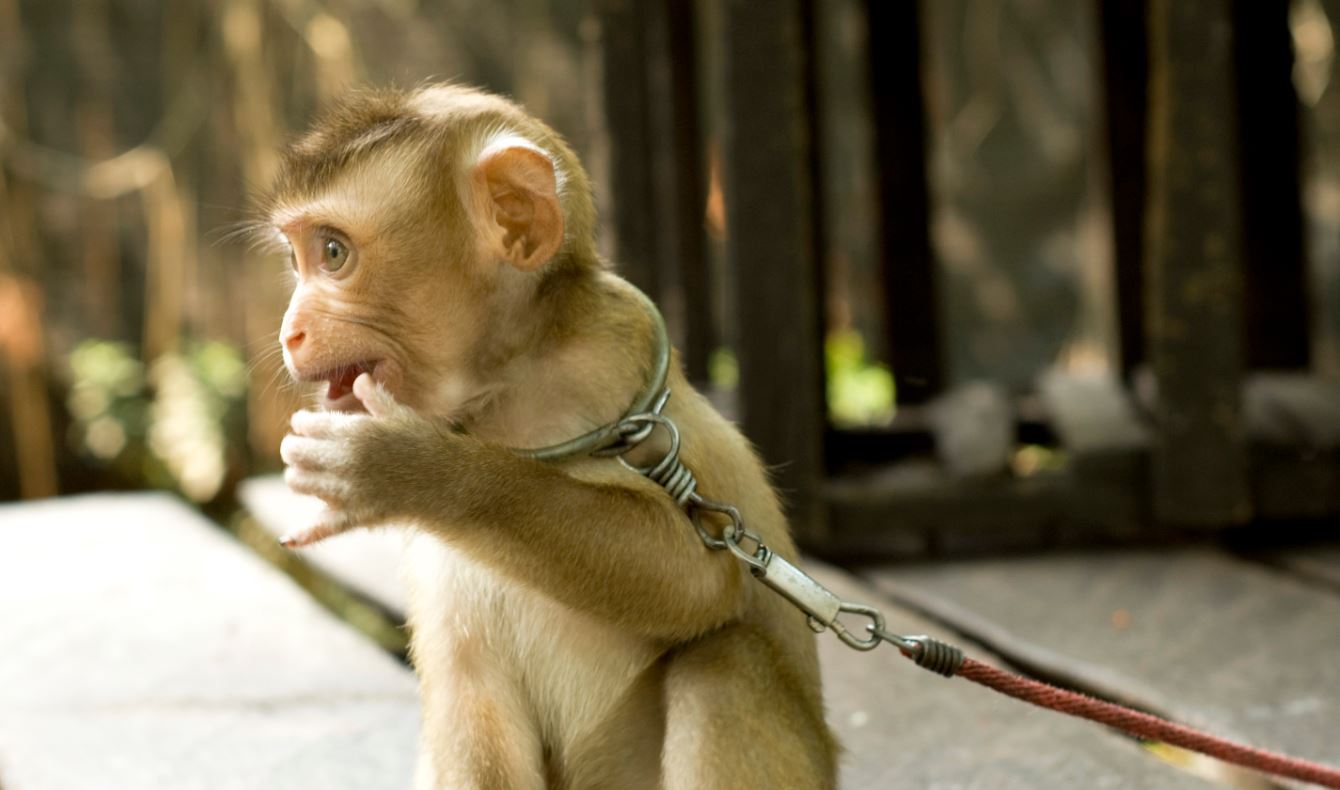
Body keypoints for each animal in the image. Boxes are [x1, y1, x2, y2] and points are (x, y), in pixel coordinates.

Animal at [268, 83, 839, 789]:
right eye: (295, 258)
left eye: (333, 253)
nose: (288, 331)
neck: (505, 388)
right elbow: (467, 698)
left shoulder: (615, 369)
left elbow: (698, 578)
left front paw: (408, 469)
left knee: (724, 663)